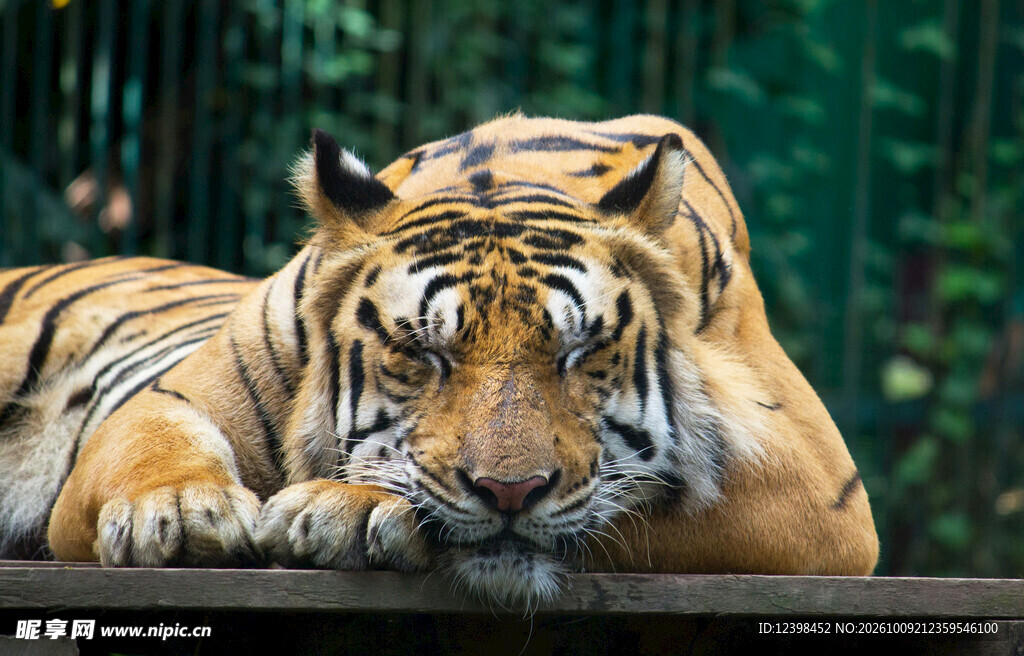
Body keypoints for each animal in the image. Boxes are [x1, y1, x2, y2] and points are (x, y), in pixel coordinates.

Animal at [0, 114, 878, 607]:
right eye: (423, 354)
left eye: (579, 353)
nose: (511, 491)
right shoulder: (174, 396)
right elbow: (149, 444)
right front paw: (182, 513)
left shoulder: (820, 492)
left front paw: (347, 509)